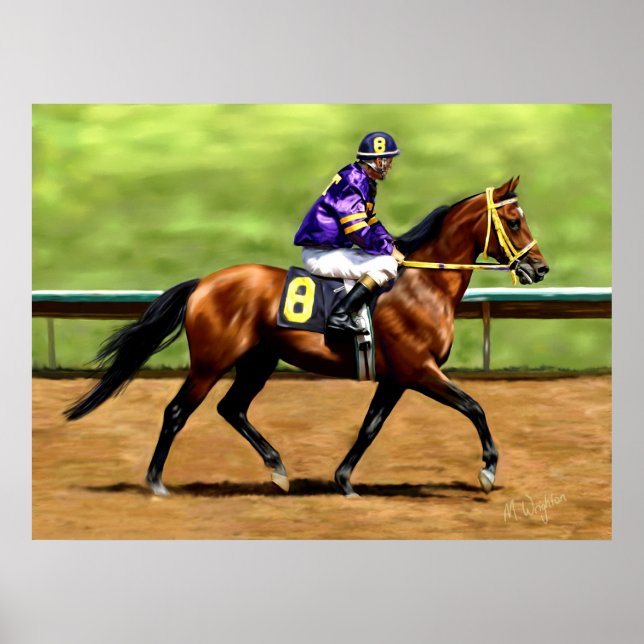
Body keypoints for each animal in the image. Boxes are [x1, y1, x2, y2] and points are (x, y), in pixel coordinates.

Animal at [65, 176, 549, 497]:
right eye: (513, 220)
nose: (540, 268)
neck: (422, 287)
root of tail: (204, 282)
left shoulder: (396, 378)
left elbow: (370, 427)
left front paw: (345, 481)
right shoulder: (419, 369)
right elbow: (475, 407)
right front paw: (487, 471)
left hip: (258, 361)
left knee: (231, 408)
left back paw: (278, 469)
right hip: (210, 362)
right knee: (177, 411)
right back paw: (156, 482)